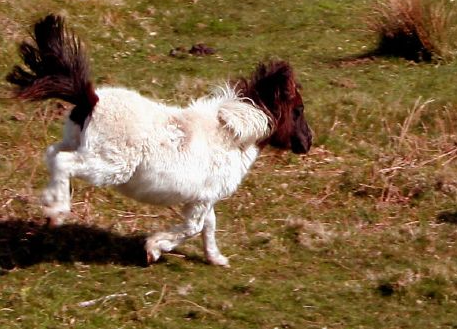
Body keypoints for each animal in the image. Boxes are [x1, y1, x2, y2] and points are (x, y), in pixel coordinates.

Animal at [7, 16, 312, 266]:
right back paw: (57, 212)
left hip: (78, 143)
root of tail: (90, 100)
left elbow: (209, 225)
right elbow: (193, 228)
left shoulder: (204, 197)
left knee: (52, 153)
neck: (232, 136)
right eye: (298, 110)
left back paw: (49, 203)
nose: (307, 142)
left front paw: (216, 258)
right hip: (109, 166)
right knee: (63, 161)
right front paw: (153, 249)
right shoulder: (202, 199)